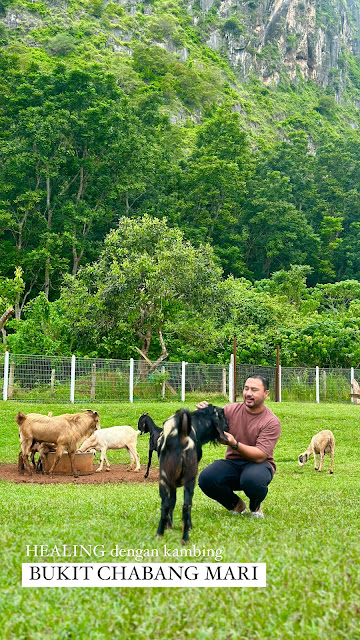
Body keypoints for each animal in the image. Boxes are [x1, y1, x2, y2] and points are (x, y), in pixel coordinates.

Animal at [156, 408, 229, 544]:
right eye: (223, 415)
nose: (228, 426)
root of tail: (182, 435)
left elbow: (172, 501)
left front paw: (170, 525)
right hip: (187, 478)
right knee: (183, 505)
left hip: (170, 479)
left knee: (171, 504)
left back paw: (167, 535)